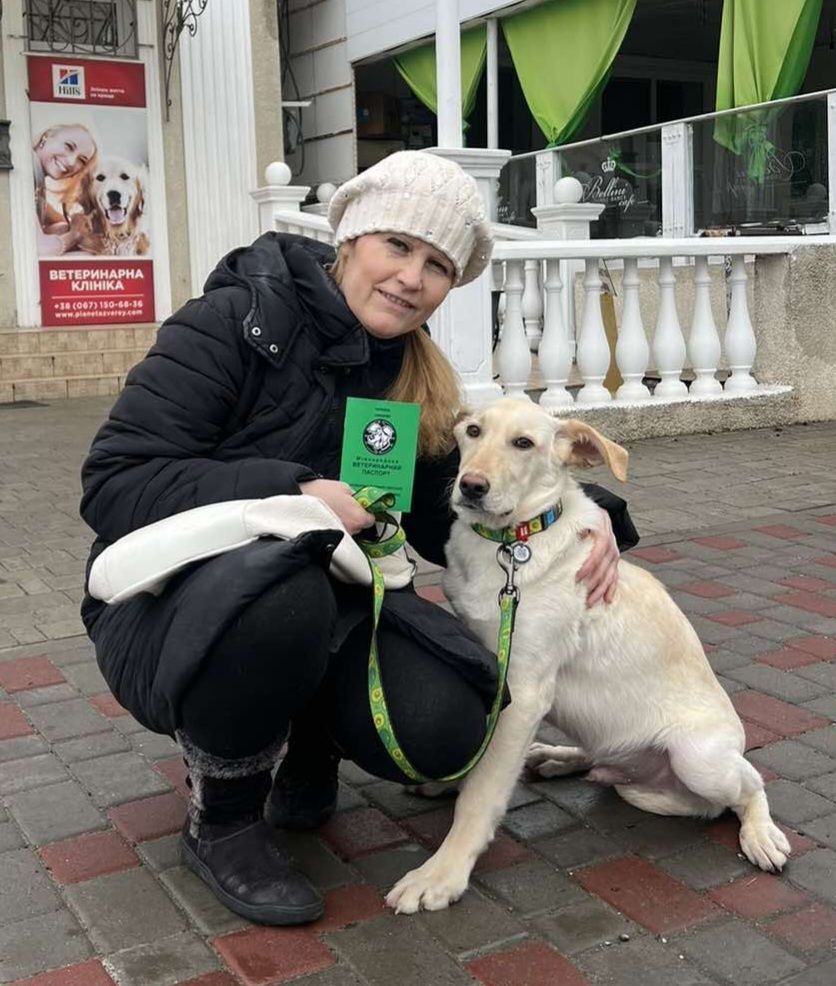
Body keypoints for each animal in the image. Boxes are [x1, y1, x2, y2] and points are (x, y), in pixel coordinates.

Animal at [386, 400, 792, 916]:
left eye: (524, 443)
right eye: (472, 431)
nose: (471, 486)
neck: (511, 542)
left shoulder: (524, 690)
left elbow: (482, 790)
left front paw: (441, 873)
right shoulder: (491, 669)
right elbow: (478, 752)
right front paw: (447, 782)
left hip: (701, 759)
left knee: (749, 787)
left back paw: (761, 834)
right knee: (598, 751)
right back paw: (556, 758)